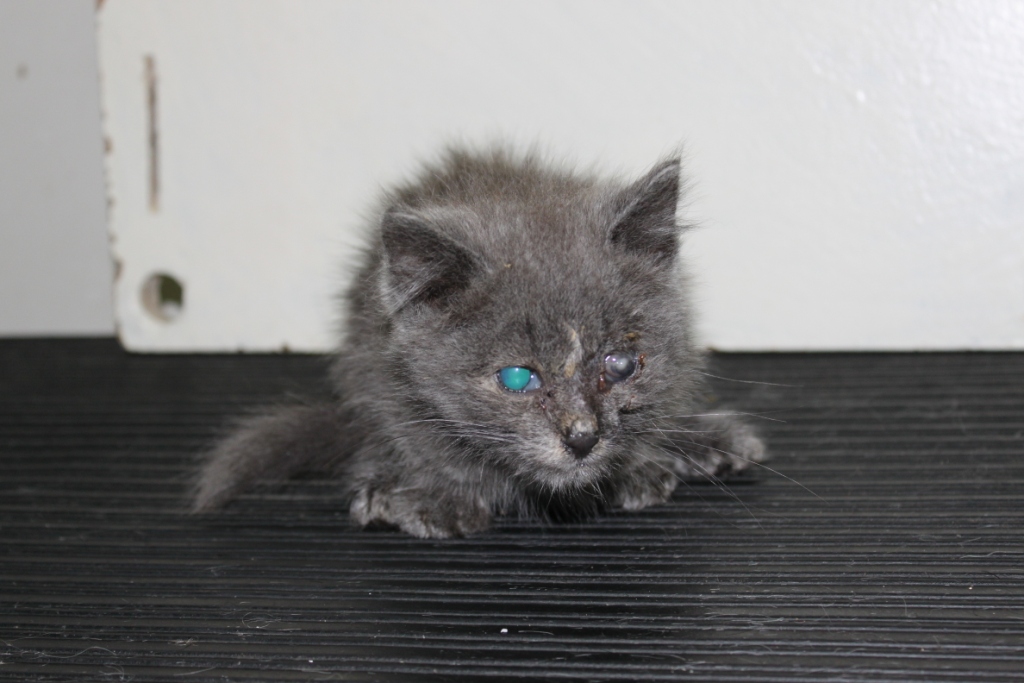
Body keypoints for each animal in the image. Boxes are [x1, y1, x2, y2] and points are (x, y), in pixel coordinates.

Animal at [192, 147, 766, 538]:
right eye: (517, 377)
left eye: (622, 364)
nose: (583, 437)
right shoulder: (383, 377)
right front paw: (439, 495)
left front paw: (655, 456)